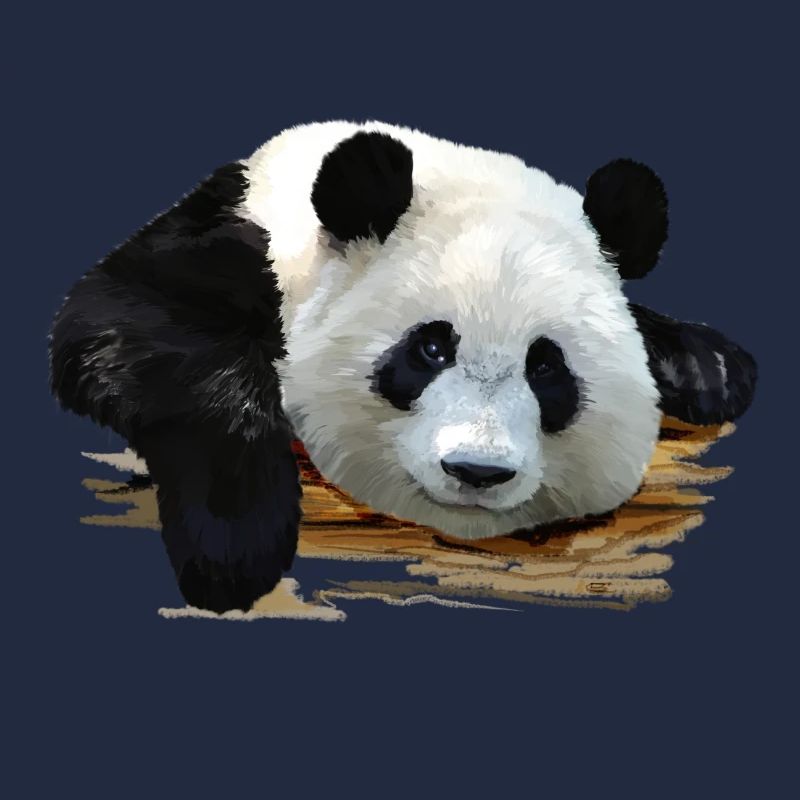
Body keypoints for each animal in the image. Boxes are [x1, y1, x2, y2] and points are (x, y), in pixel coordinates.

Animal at [49, 120, 757, 613]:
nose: (477, 471)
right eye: (431, 349)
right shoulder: (228, 240)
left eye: (546, 368)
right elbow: (123, 327)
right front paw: (233, 545)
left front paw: (710, 367)